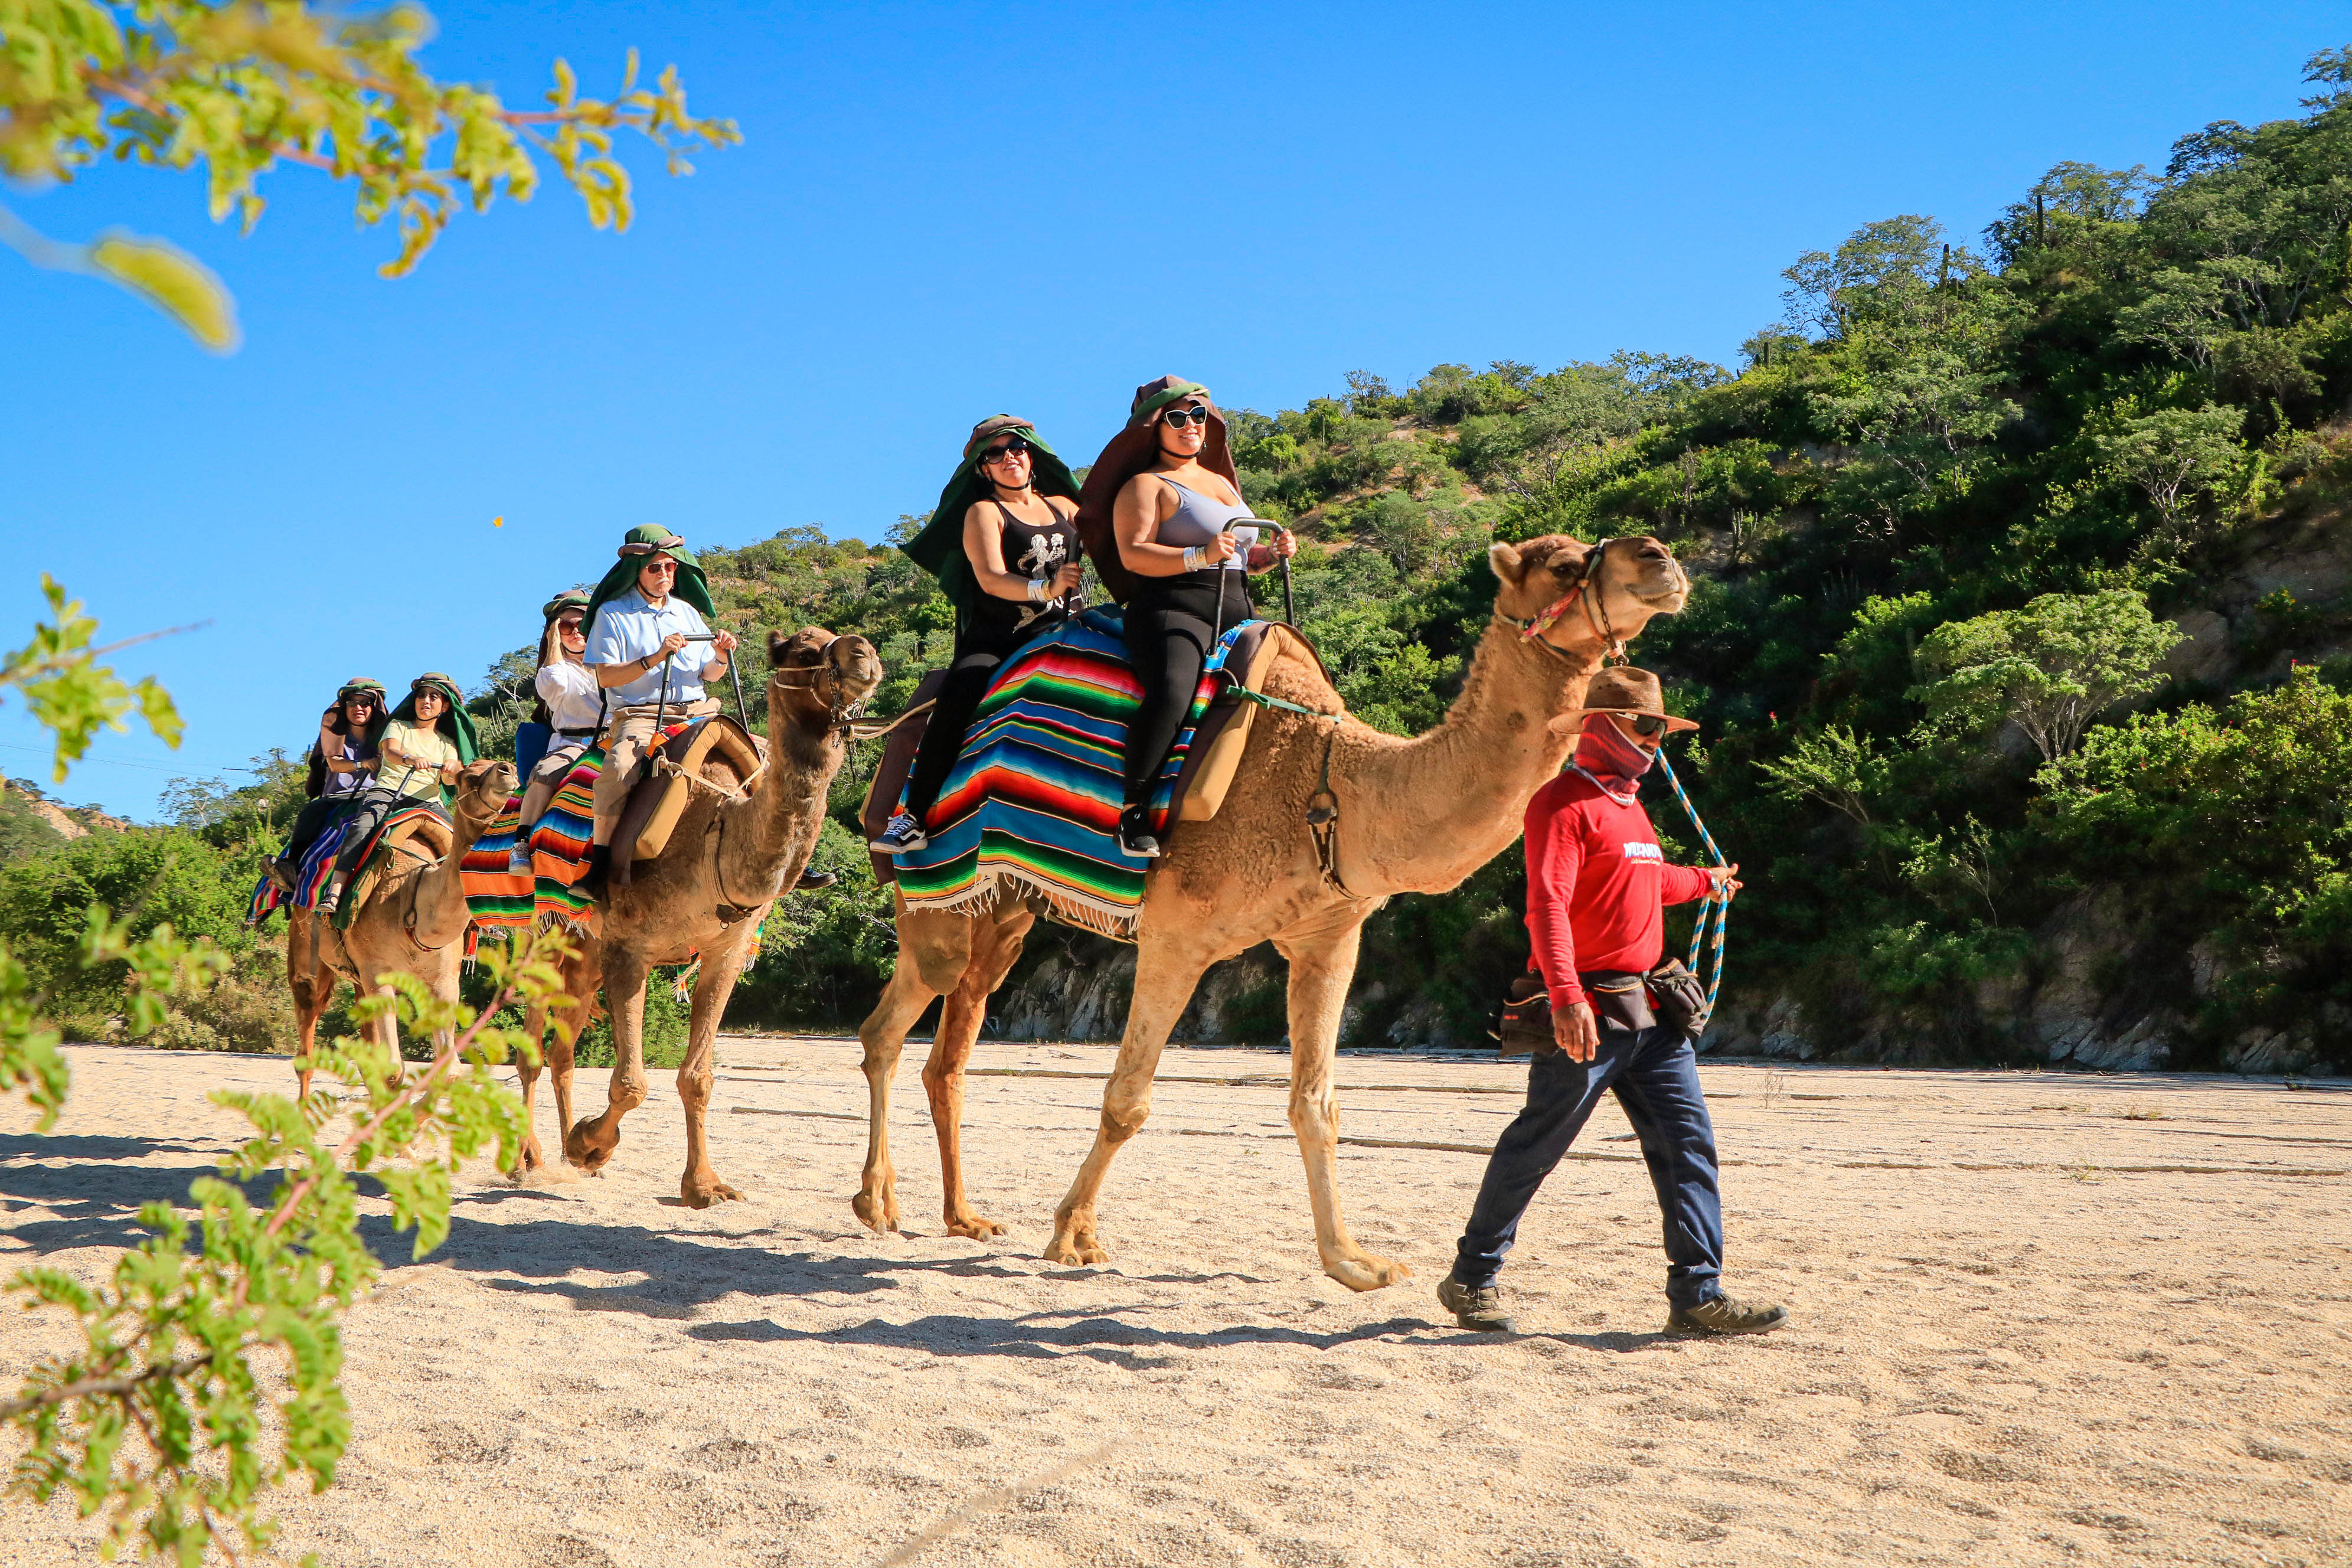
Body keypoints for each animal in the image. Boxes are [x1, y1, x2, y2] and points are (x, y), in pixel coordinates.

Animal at [287, 759, 519, 1095]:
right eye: (471, 776)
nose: (507, 770)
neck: (412, 896)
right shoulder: (378, 973)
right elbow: (394, 1071)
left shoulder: (444, 980)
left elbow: (448, 1072)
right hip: (306, 946)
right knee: (307, 1028)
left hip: (357, 975)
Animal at [512, 626, 883, 1207]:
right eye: (804, 648)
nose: (864, 654)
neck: (717, 831)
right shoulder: (630, 947)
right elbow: (632, 1082)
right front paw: (593, 1145)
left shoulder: (724, 951)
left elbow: (697, 1077)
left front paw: (702, 1184)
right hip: (542, 939)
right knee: (531, 1049)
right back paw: (528, 1160)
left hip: (584, 955)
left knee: (561, 1052)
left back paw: (570, 1160)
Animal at [852, 534, 1690, 1288]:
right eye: (1565, 564)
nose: (1661, 559)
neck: (1332, 783)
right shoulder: (1177, 935)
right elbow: (1128, 1100)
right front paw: (1074, 1239)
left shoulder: (1328, 938)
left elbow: (1317, 1103)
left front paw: (1355, 1262)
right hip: (932, 895)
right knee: (887, 1027)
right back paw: (876, 1205)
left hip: (1004, 910)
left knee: (951, 1047)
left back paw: (964, 1216)